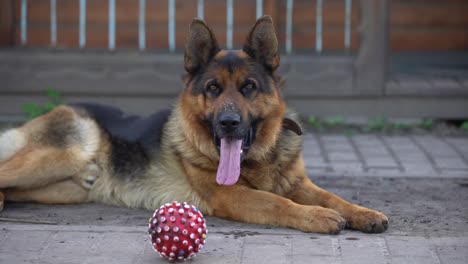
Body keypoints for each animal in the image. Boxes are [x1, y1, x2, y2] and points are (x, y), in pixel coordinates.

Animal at [0, 17, 388, 233]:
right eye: (213, 89)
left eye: (249, 87)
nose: (229, 123)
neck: (259, 159)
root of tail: (62, 107)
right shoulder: (232, 196)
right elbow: (279, 203)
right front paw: (319, 217)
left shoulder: (298, 183)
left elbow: (334, 197)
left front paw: (364, 213)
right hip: (57, 158)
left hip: (62, 188)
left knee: (13, 188)